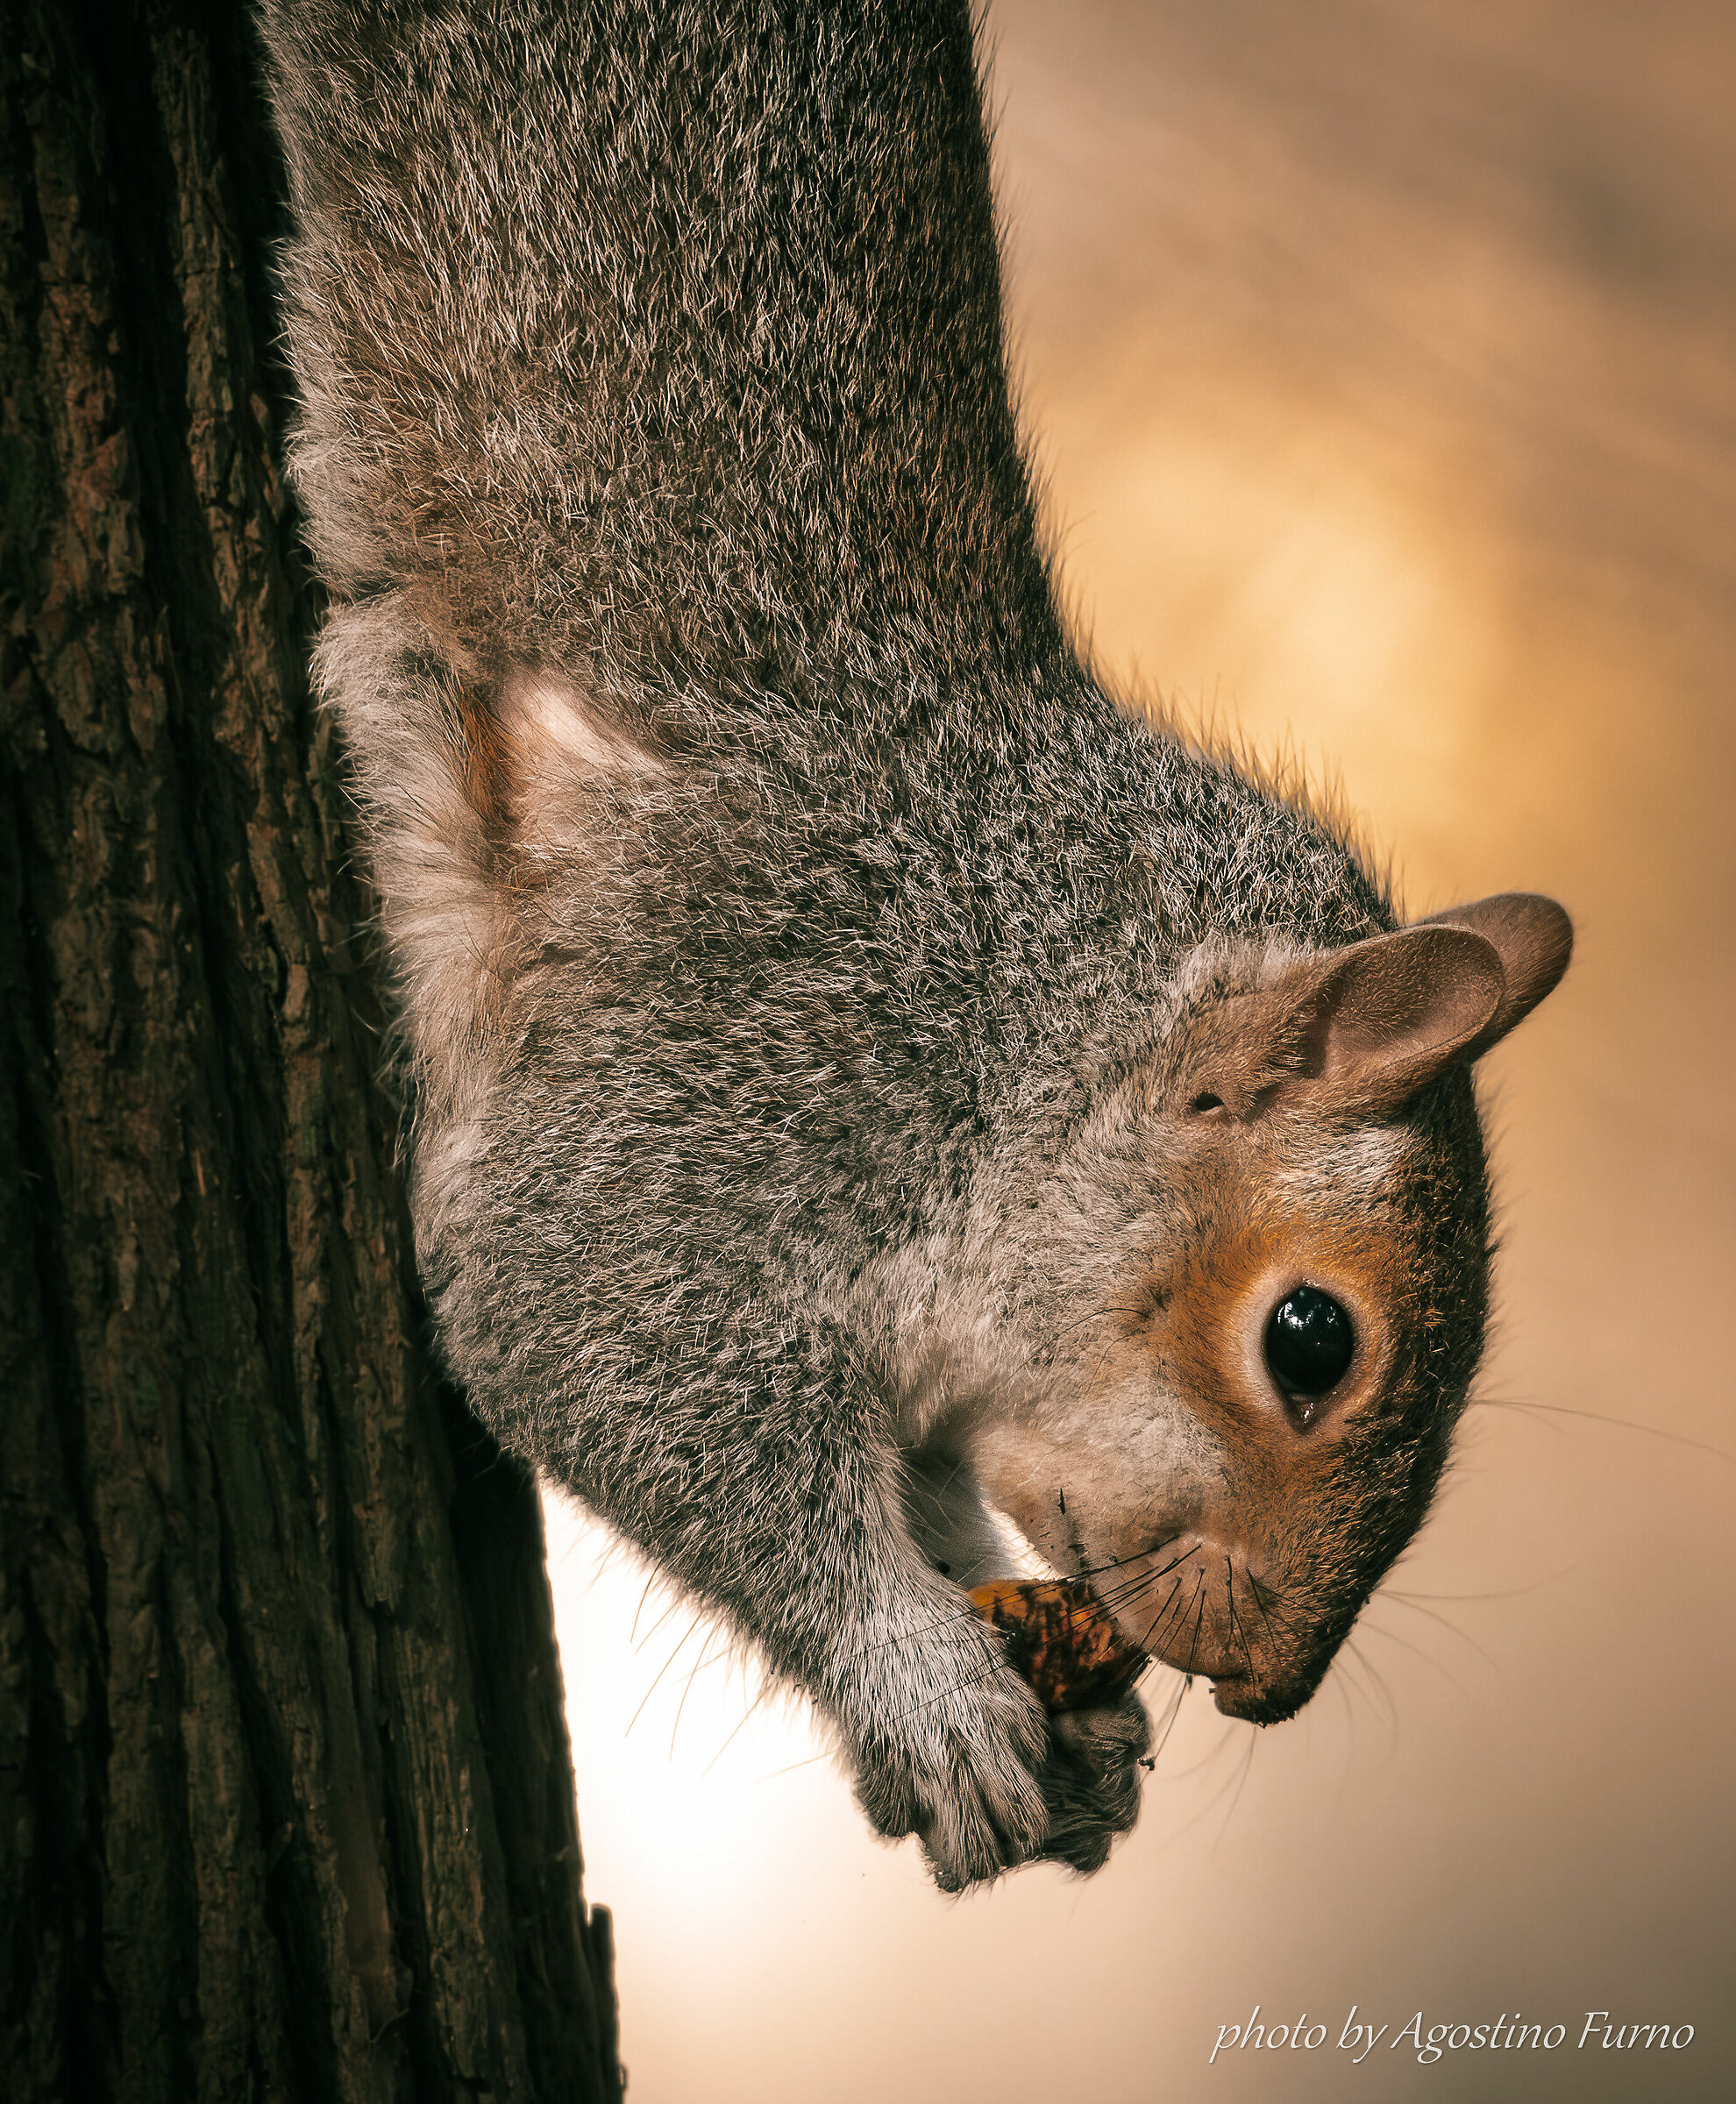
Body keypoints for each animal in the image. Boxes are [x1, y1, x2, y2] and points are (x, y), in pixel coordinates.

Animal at [260, 0, 1571, 1891]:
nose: (1267, 1689)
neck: (1014, 1001)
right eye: (1313, 1342)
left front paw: (1065, 1744)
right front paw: (919, 1689)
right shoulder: (752, 1063)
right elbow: (574, 1317)